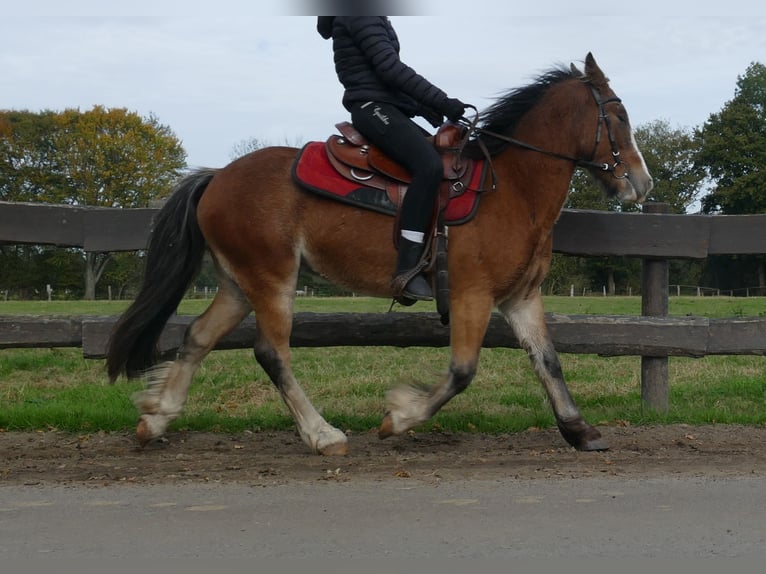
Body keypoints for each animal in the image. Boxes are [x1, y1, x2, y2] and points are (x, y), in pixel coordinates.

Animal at [105, 55, 656, 460]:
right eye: (619, 117)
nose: (641, 181)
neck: (512, 188)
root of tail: (218, 176)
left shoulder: (520, 298)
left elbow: (549, 362)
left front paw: (579, 430)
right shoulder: (473, 296)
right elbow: (462, 371)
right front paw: (399, 418)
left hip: (239, 284)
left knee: (198, 337)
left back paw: (156, 418)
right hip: (271, 279)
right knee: (271, 353)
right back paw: (322, 435)